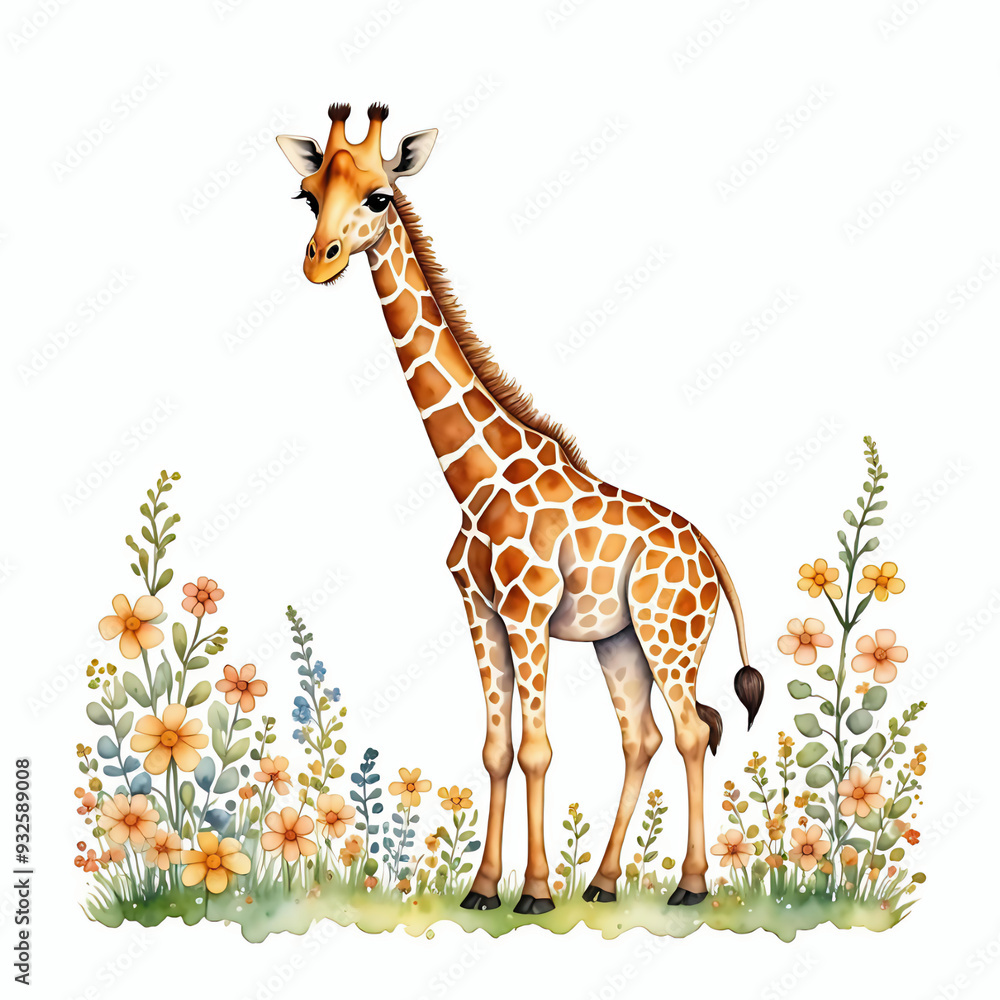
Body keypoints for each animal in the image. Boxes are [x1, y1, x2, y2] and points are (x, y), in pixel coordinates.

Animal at [276, 104, 764, 912]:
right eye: (308, 196)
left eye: (378, 197)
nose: (320, 259)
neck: (473, 477)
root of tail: (710, 555)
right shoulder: (480, 611)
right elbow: (497, 749)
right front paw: (482, 888)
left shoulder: (528, 612)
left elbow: (536, 749)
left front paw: (533, 891)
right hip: (620, 641)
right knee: (643, 738)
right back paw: (601, 882)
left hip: (670, 635)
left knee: (692, 732)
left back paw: (688, 887)